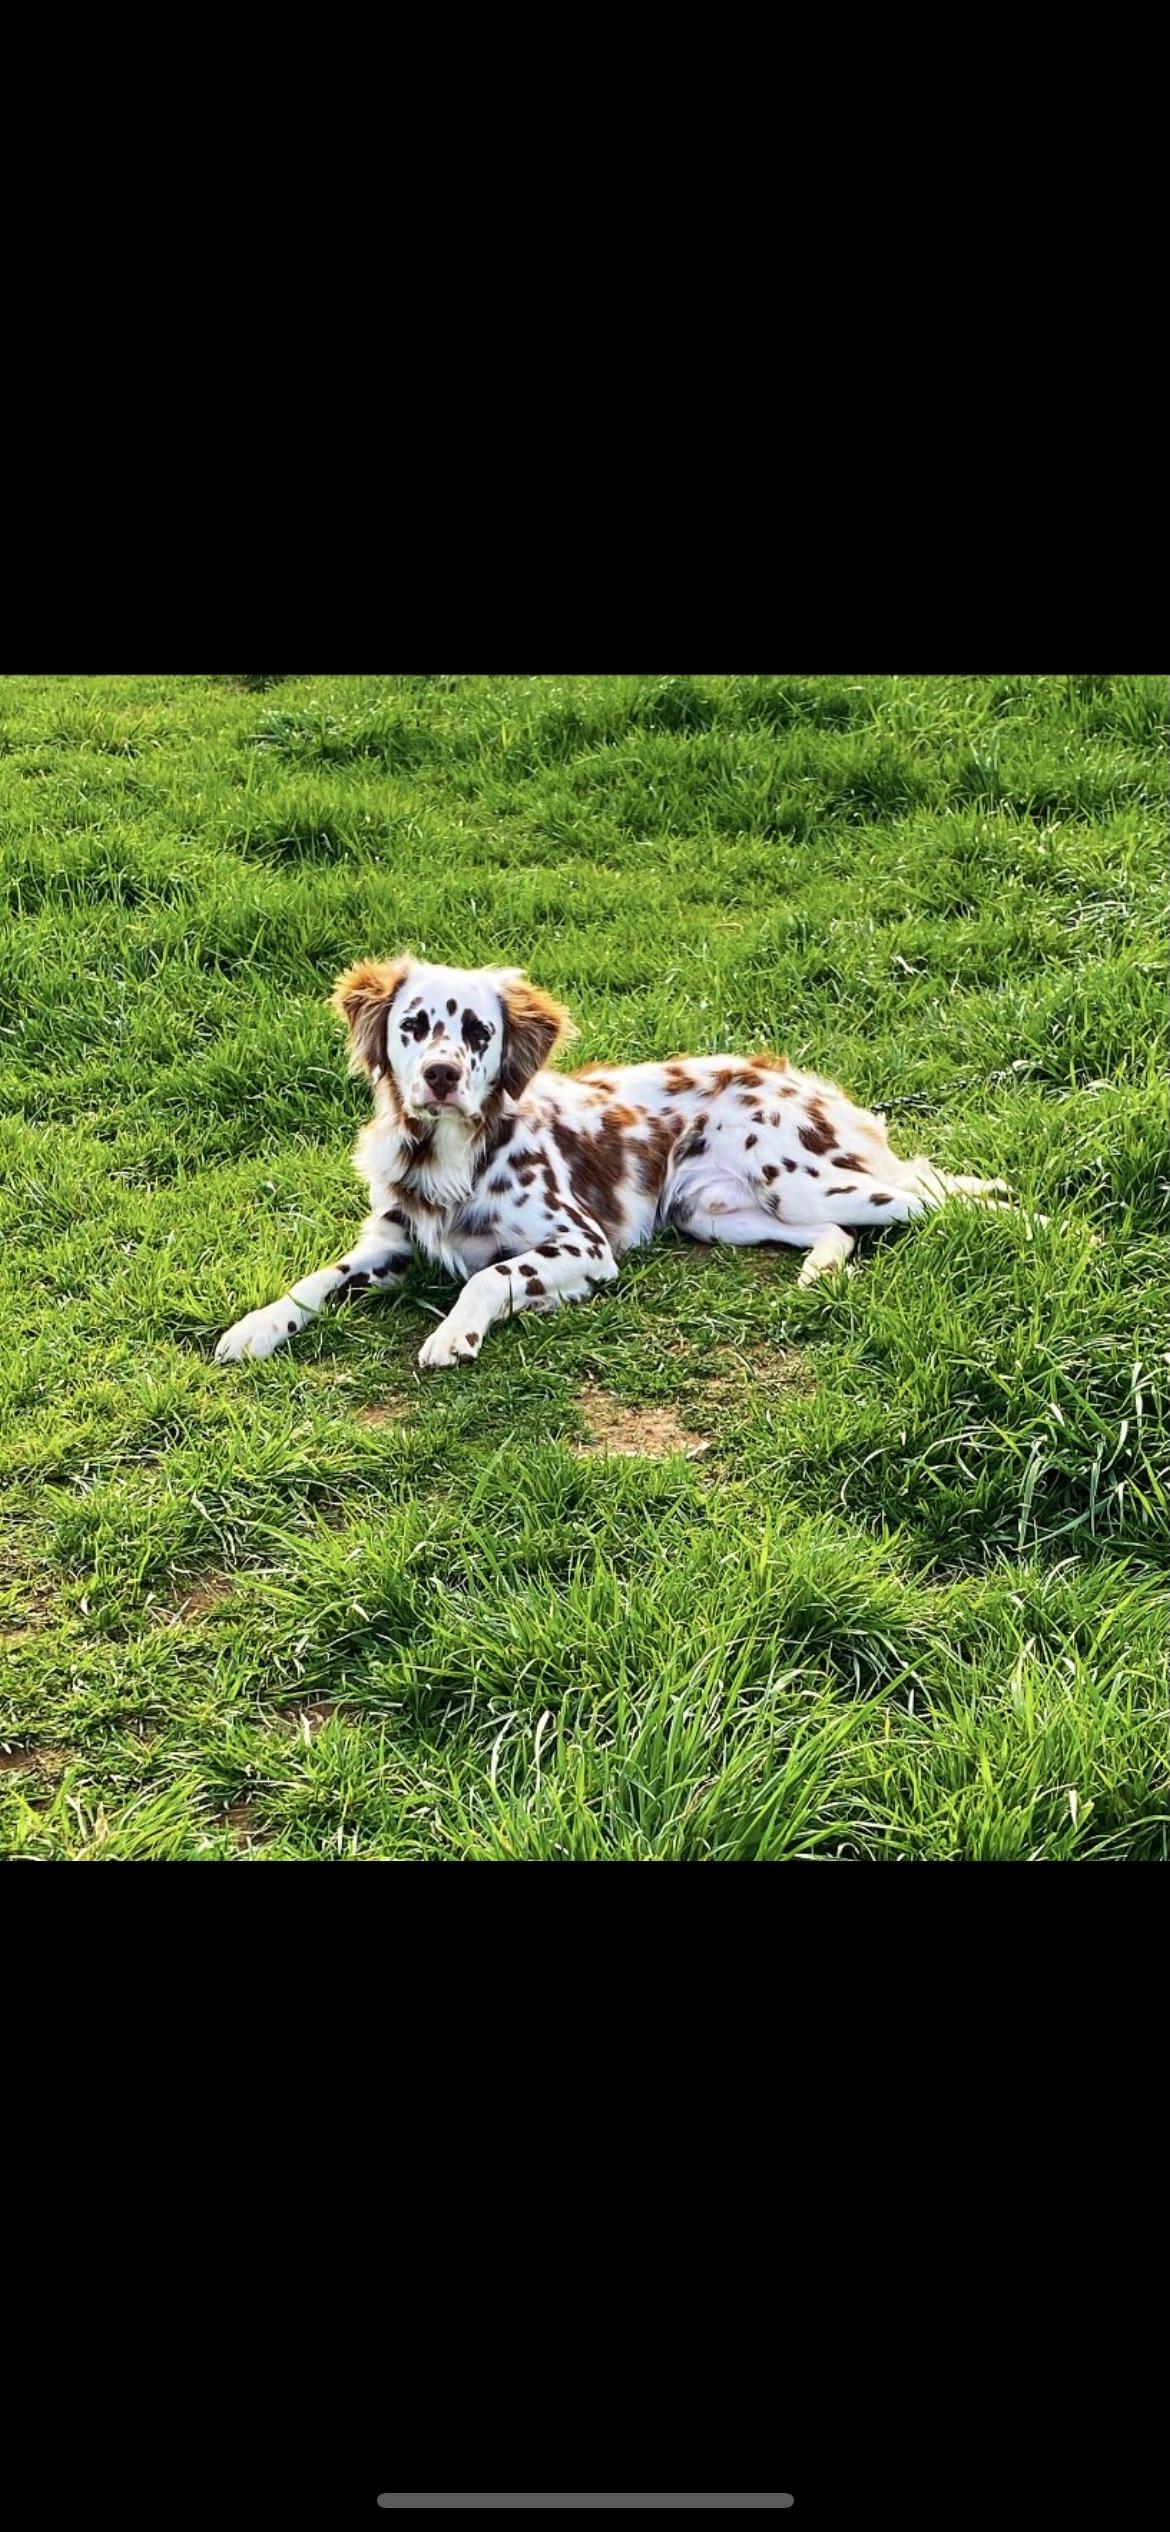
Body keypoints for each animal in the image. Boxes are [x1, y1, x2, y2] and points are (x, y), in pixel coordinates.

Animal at [215, 954, 1012, 1371]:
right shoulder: (389, 1243)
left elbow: (489, 1276)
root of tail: (794, 1074)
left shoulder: (584, 1246)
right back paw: (818, 1273)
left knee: (957, 1200)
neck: (452, 1155)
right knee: (842, 1232)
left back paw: (1034, 1231)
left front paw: (451, 1334)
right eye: (414, 1026)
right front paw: (255, 1327)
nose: (440, 1075)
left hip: (806, 1182)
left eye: (476, 1032)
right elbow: (314, 1280)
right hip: (717, 1212)